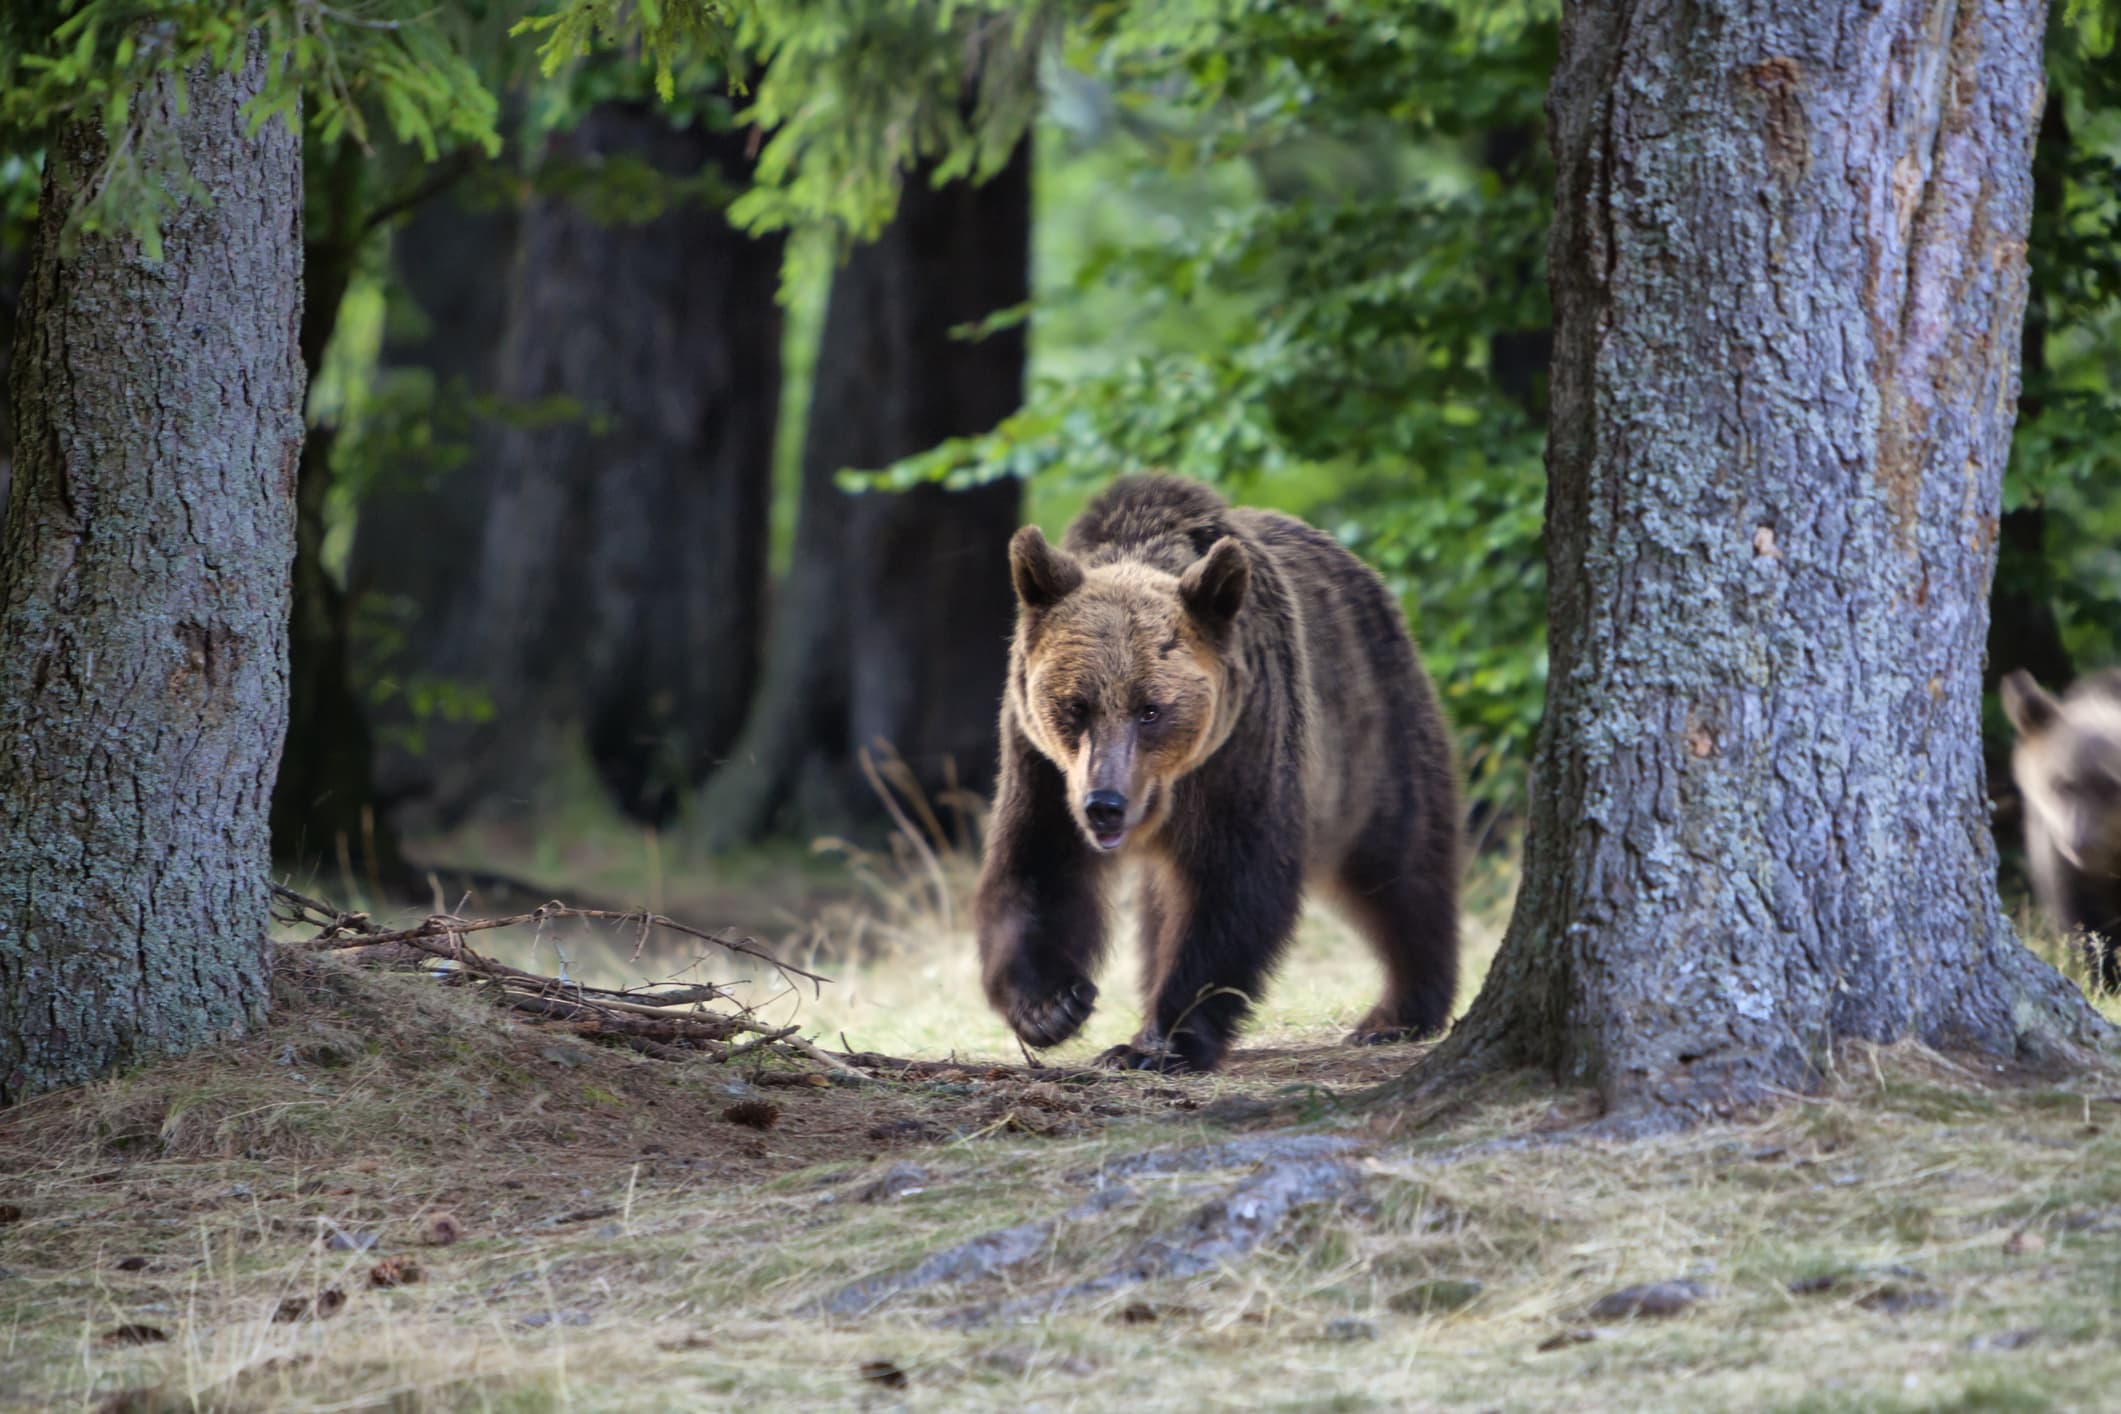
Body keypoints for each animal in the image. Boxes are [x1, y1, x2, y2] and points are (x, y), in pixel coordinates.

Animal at [972, 474, 1462, 1072]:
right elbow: (1038, 862)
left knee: (1399, 865)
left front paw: (1159, 1041)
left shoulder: (1243, 744)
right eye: (1075, 705)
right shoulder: (1041, 763)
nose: (1105, 805)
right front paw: (1053, 1005)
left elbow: (1232, 885)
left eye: (1150, 709)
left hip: (1371, 738)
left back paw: (1398, 1011)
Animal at [2000, 667, 2121, 991]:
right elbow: (2084, 927)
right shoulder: (2062, 865)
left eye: (2111, 785)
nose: (2081, 842)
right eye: (2062, 784)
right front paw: (2103, 979)